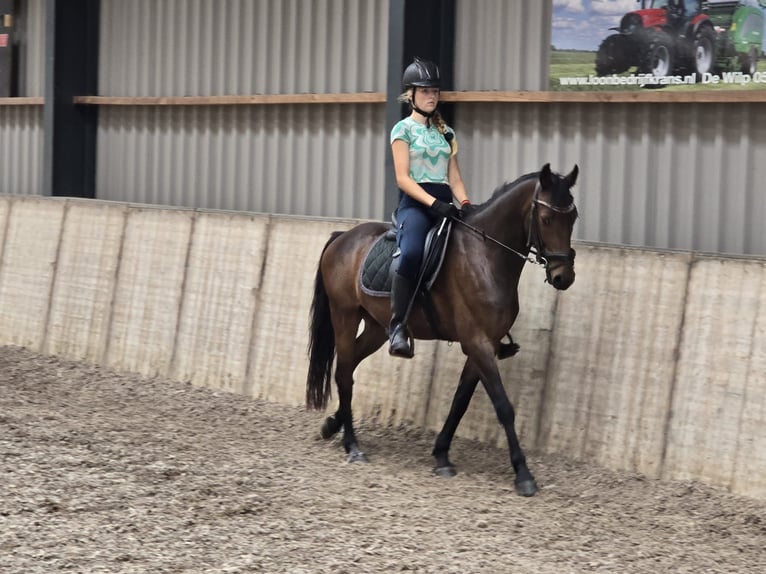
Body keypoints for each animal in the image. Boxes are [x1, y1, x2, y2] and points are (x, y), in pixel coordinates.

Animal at [306, 163, 579, 496]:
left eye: (573, 217)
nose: (563, 277)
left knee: (348, 366)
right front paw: (523, 474)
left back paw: (333, 425)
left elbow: (460, 402)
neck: (486, 255)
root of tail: (343, 237)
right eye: (547, 218)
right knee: (345, 373)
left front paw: (441, 455)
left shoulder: (483, 344)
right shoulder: (477, 342)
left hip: (376, 328)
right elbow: (503, 407)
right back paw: (352, 446)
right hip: (344, 315)